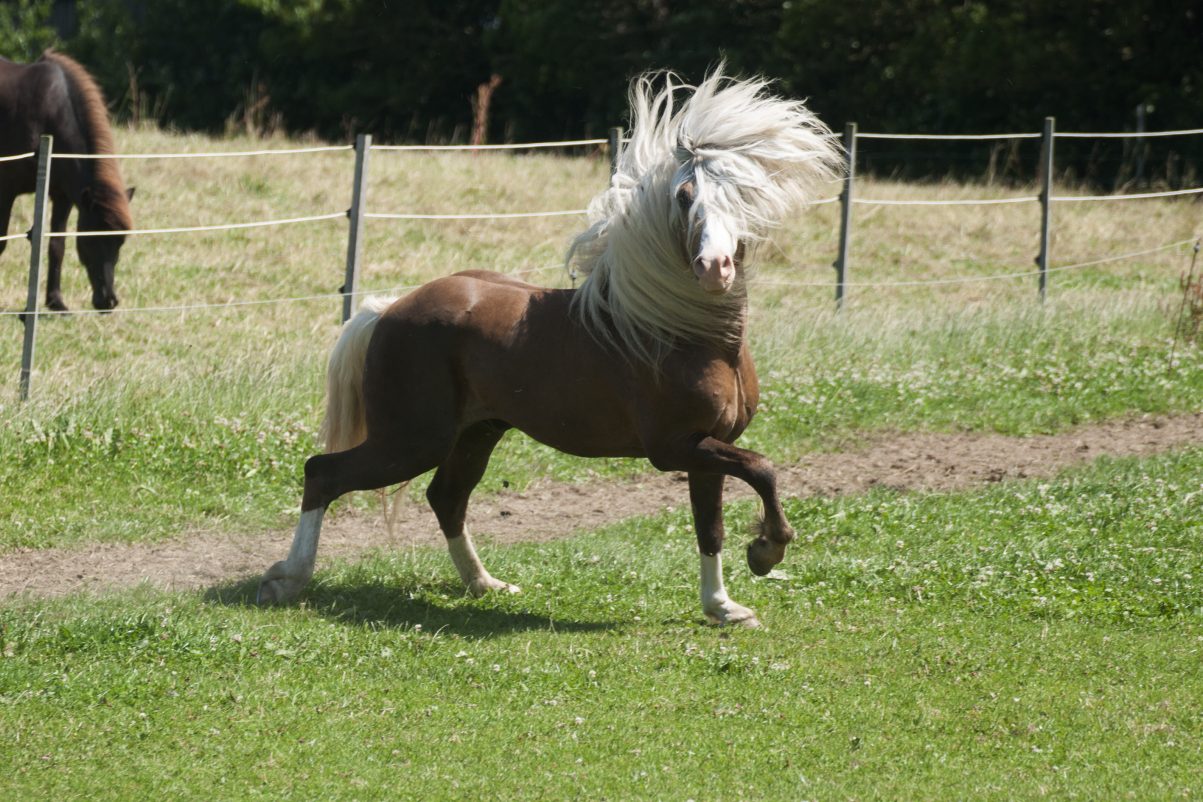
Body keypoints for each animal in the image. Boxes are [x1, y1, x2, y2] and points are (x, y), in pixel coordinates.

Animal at [0, 51, 132, 310]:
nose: (109, 301)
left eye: (120, 242)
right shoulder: (6, 190)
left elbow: (57, 246)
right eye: (93, 239)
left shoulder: (63, 197)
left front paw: (56, 302)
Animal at [258, 69, 842, 625]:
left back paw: (485, 584)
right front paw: (766, 552)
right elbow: (763, 469)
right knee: (323, 473)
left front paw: (723, 607)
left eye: (743, 195)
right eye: (684, 196)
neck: (682, 332)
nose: (714, 268)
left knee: (445, 498)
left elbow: (711, 528)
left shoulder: (707, 448)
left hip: (475, 433)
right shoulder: (676, 446)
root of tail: (389, 310)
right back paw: (287, 580)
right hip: (411, 440)